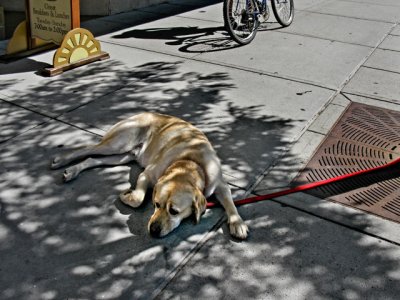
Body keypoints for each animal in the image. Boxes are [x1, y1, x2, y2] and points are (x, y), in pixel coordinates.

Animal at [51, 112, 248, 239]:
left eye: (174, 211)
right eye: (156, 204)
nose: (153, 230)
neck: (189, 163)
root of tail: (142, 112)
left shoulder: (220, 184)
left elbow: (230, 203)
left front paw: (237, 222)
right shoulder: (147, 175)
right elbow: (138, 198)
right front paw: (127, 196)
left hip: (122, 156)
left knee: (92, 159)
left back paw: (72, 171)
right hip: (119, 143)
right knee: (87, 149)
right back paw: (62, 161)